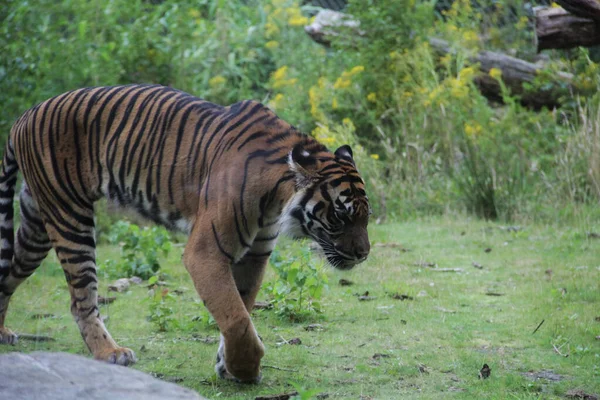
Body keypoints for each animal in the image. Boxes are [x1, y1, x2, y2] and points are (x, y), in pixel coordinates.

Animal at [0, 83, 370, 382]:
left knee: (9, 273)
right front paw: (245, 369)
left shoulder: (254, 254)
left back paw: (2, 332)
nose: (364, 254)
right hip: (69, 217)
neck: (277, 199)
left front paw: (228, 366)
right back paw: (111, 353)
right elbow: (235, 318)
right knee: (81, 300)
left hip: (37, 225)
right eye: (341, 215)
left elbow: (241, 308)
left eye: (366, 217)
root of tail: (23, 116)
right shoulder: (206, 252)